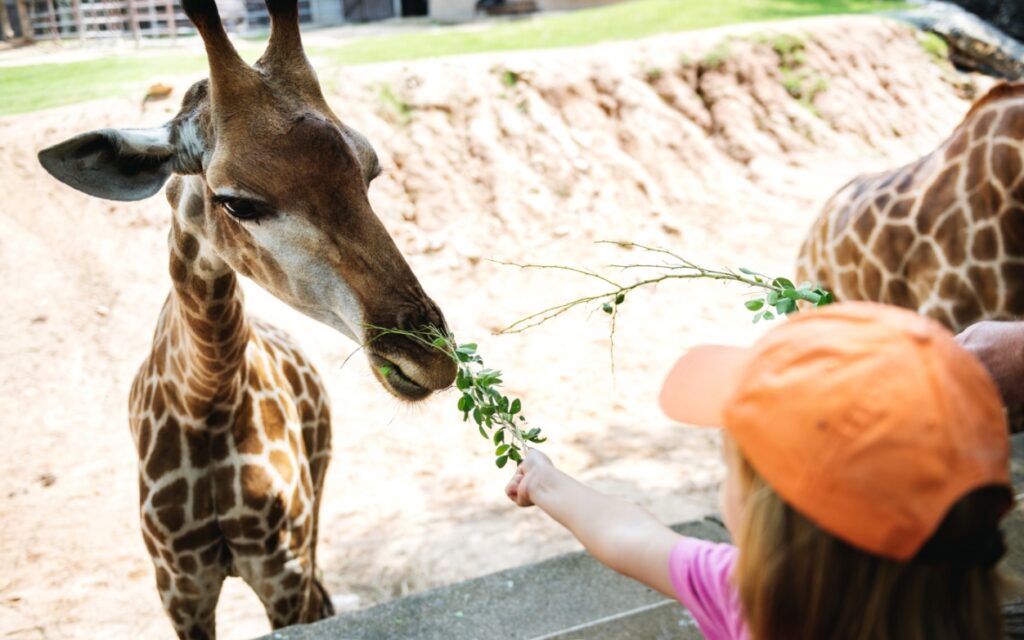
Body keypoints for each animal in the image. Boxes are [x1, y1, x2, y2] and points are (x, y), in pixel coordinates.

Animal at [37, 0, 456, 634]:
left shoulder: (281, 570)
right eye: (236, 201)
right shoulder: (180, 588)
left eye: (370, 171)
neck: (205, 398)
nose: (430, 357)